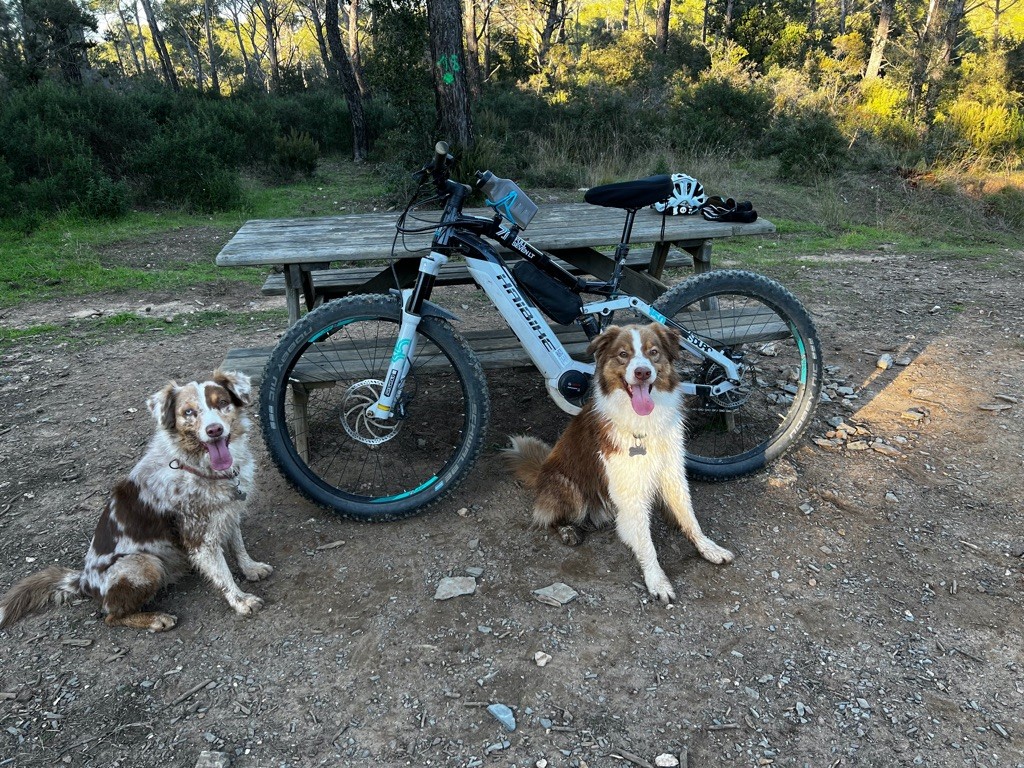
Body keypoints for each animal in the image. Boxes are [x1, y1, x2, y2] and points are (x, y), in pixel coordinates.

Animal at [0, 370, 272, 634]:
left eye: (223, 403)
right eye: (188, 412)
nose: (214, 430)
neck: (197, 466)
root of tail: (83, 581)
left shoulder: (228, 513)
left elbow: (238, 546)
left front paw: (251, 568)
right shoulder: (199, 538)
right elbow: (223, 574)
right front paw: (241, 601)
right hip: (145, 563)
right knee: (111, 616)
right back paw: (155, 619)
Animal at [505, 321, 733, 606]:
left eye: (653, 352)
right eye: (623, 354)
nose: (642, 372)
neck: (643, 422)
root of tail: (542, 471)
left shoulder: (672, 471)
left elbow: (689, 517)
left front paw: (708, 548)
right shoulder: (630, 488)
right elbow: (646, 543)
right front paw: (657, 581)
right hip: (567, 486)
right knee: (547, 514)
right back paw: (568, 530)